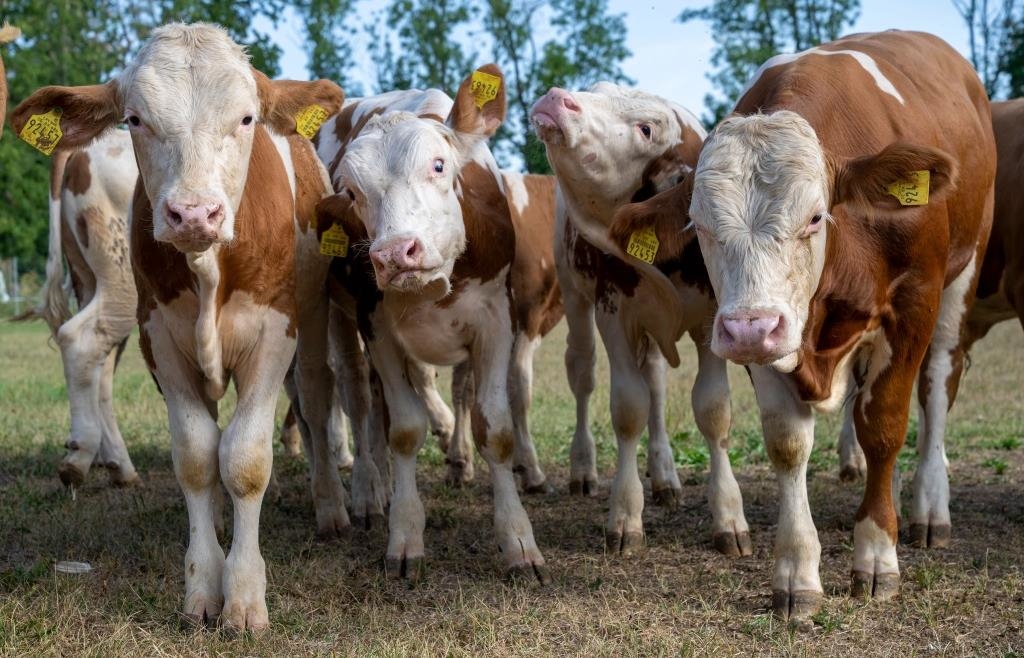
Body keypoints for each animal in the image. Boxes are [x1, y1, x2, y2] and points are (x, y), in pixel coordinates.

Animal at [13, 23, 347, 631]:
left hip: (309, 320)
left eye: (245, 118)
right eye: (135, 119)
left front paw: (244, 595)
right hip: (120, 290)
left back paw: (329, 505)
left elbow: (244, 459)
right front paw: (203, 583)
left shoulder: (274, 334)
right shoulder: (161, 337)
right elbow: (196, 457)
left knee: (313, 395)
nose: (193, 214)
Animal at [314, 66, 550, 582]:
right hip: (340, 319)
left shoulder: (496, 321)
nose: (393, 254)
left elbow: (495, 429)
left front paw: (519, 541)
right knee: (359, 396)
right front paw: (405, 536)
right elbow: (403, 429)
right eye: (352, 192)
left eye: (439, 166)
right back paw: (369, 488)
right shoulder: (376, 325)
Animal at [530, 83, 751, 556]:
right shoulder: (613, 313)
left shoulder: (711, 321)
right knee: (583, 374)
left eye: (646, 129)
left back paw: (665, 475)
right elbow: (629, 407)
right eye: (596, 89)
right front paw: (626, 515)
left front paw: (728, 515)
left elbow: (712, 409)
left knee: (657, 384)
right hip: (575, 298)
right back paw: (583, 468)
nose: (557, 97)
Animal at [606, 31, 995, 621]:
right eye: (699, 226)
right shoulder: (771, 338)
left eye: (814, 217)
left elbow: (885, 425)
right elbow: (789, 443)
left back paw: (929, 505)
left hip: (959, 281)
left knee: (935, 392)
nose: (748, 329)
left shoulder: (912, 305)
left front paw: (876, 554)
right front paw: (797, 573)